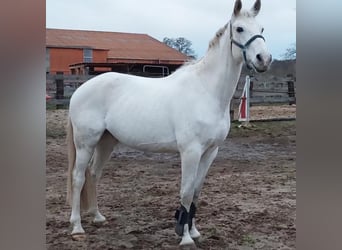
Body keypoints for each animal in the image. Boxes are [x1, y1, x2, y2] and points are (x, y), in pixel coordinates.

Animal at [66, 0, 270, 246]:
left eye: (261, 29)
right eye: (239, 28)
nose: (264, 59)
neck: (206, 91)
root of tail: (80, 90)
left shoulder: (210, 152)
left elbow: (197, 191)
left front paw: (193, 231)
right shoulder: (190, 151)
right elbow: (186, 191)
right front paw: (185, 238)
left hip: (107, 142)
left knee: (94, 174)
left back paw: (97, 216)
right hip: (85, 143)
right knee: (78, 178)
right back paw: (77, 227)